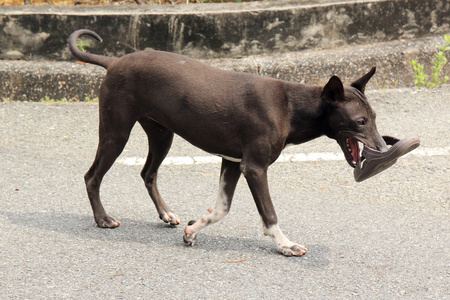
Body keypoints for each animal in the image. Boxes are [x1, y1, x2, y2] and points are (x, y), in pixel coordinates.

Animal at [69, 29, 386, 255]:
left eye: (373, 117)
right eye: (360, 122)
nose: (383, 149)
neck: (292, 107)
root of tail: (114, 62)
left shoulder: (232, 162)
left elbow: (221, 208)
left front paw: (193, 229)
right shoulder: (254, 167)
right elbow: (269, 214)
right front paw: (285, 245)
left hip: (162, 134)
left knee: (148, 173)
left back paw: (166, 213)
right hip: (116, 132)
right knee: (91, 176)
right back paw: (102, 218)